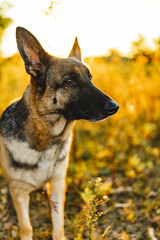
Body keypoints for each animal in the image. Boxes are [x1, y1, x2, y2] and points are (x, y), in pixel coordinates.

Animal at [0, 27, 117, 239]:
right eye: (69, 81)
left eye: (90, 78)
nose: (115, 106)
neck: (45, 142)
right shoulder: (19, 192)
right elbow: (26, 227)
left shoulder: (57, 185)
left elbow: (58, 223)